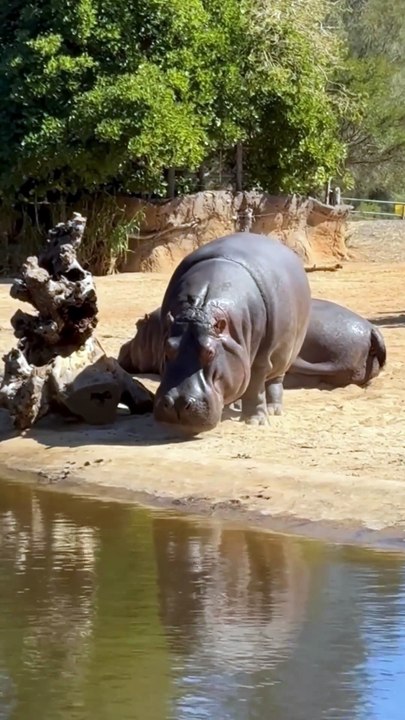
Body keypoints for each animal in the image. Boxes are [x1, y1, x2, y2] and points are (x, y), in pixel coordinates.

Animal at [151, 232, 311, 433]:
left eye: (210, 352)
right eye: (167, 348)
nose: (177, 403)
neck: (200, 309)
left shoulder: (260, 360)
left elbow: (255, 389)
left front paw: (256, 421)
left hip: (286, 355)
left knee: (275, 381)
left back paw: (273, 410)